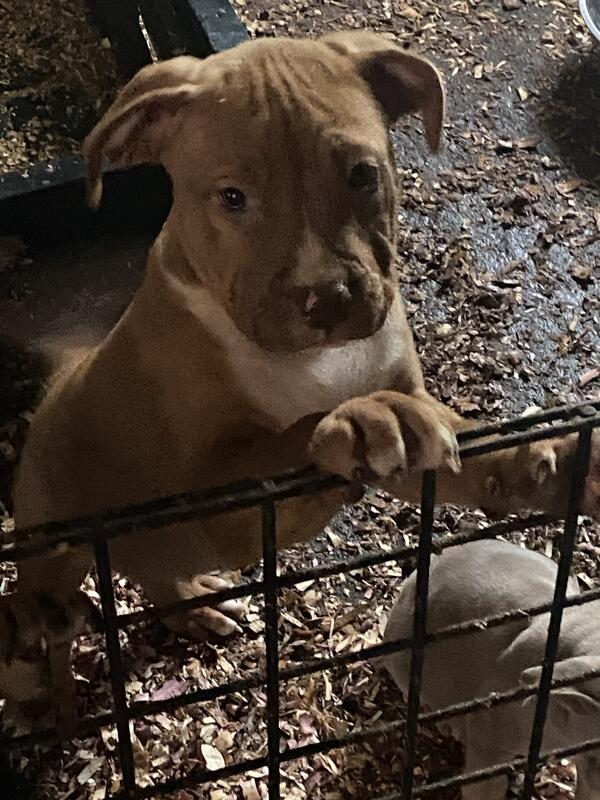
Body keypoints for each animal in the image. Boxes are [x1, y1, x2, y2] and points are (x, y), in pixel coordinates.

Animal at [7, 32, 600, 731]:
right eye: (232, 198)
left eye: (363, 175)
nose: (329, 298)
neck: (320, 361)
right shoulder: (219, 502)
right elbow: (289, 438)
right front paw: (355, 419)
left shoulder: (421, 431)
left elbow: (467, 446)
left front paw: (550, 463)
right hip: (56, 549)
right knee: (50, 612)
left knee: (158, 575)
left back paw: (192, 606)